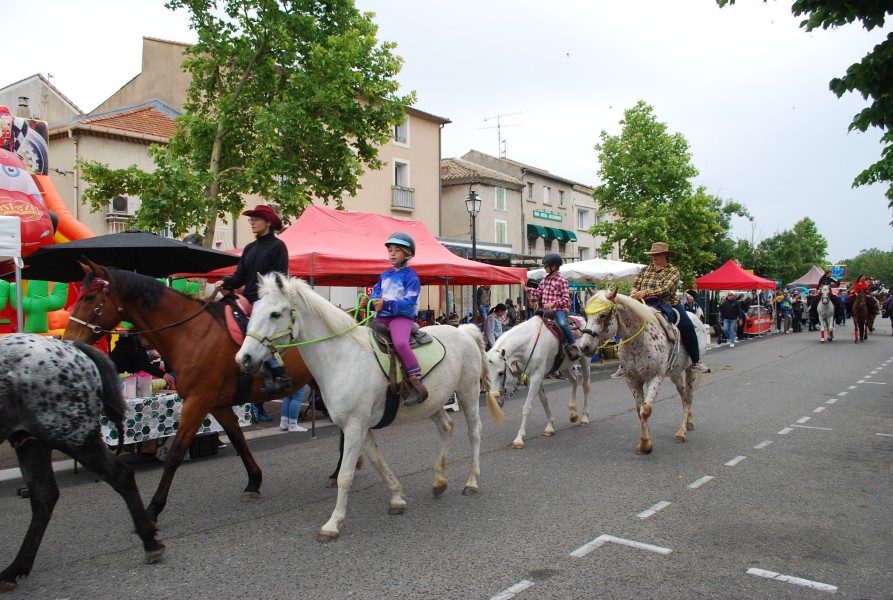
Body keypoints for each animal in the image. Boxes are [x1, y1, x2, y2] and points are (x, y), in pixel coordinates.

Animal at [0, 336, 163, 592]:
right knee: (44, 497)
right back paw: (14, 569)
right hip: (36, 441)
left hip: (70, 435)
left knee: (120, 475)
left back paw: (149, 541)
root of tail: (72, 346)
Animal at [62, 260, 314, 524]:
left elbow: (175, 454)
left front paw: (154, 507)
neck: (191, 333)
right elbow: (238, 440)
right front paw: (253, 482)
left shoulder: (197, 402)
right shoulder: (217, 405)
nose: (68, 339)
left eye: (89, 297)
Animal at [235, 274, 502, 540]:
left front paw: (333, 523)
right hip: (434, 401)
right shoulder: (358, 426)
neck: (343, 357)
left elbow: (345, 475)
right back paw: (438, 482)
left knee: (474, 432)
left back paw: (471, 482)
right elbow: (376, 460)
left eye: (275, 314)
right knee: (446, 428)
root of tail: (465, 331)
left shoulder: (354, 425)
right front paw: (396, 498)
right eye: (253, 310)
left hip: (467, 393)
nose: (243, 358)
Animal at [484, 316, 588, 448]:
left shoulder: (536, 377)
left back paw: (584, 418)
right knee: (574, 380)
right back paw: (573, 414)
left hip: (585, 360)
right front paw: (550, 427)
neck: (529, 343)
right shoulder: (531, 378)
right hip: (564, 366)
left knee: (585, 386)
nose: (497, 402)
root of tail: (581, 319)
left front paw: (519, 438)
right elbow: (544, 401)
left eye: (501, 373)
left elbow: (527, 407)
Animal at [576, 290, 708, 454]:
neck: (640, 340)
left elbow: (646, 410)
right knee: (683, 395)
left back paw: (681, 432)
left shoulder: (655, 377)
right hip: (675, 373)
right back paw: (689, 421)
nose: (584, 347)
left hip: (690, 370)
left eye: (604, 315)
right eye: (587, 315)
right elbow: (640, 410)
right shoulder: (632, 380)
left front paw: (646, 445)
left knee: (688, 397)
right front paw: (644, 441)